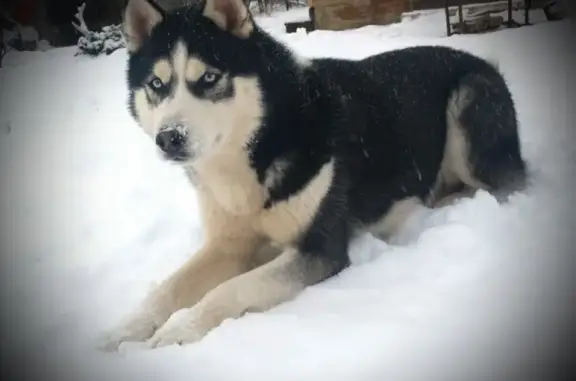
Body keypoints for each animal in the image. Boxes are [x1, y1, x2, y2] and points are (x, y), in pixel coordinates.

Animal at [98, 0, 528, 350]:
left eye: (208, 78)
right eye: (157, 84)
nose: (169, 138)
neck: (257, 148)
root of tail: (484, 62)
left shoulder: (320, 249)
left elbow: (230, 289)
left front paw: (180, 329)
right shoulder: (229, 244)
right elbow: (167, 288)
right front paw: (123, 329)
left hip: (469, 112)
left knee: (508, 185)